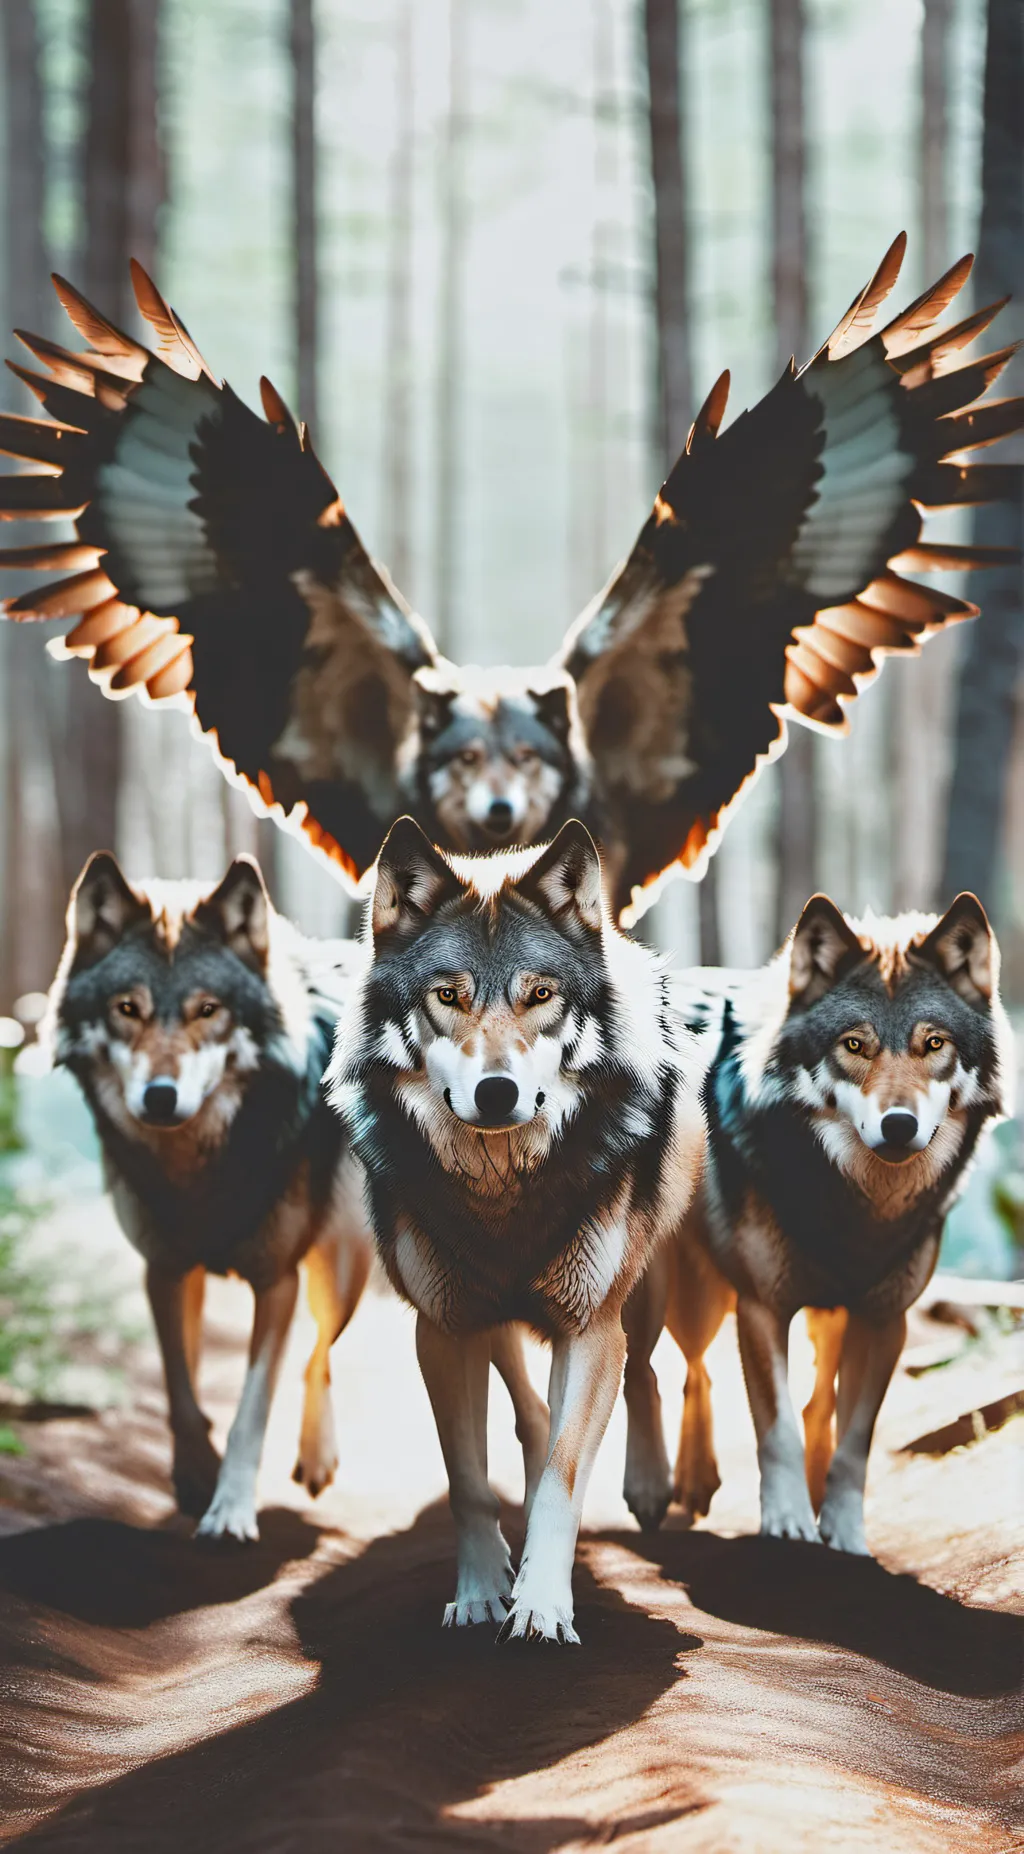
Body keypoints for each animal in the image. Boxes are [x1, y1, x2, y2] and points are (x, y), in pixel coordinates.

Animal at [45, 851, 374, 1542]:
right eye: (127, 1008)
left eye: (208, 1010)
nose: (160, 1097)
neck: (198, 1173)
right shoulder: (164, 1268)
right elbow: (180, 1386)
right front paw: (194, 1472)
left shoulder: (276, 1280)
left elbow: (252, 1407)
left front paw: (230, 1510)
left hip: (340, 1268)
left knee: (320, 1354)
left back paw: (316, 1457)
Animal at [328, 815, 704, 1642]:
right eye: (448, 995)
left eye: (539, 996)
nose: (496, 1092)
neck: (503, 1194)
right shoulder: (444, 1328)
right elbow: (468, 1479)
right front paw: (479, 1592)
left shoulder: (590, 1327)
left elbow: (566, 1471)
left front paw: (541, 1606)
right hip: (489, 1316)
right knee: (532, 1414)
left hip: (641, 1291)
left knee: (642, 1372)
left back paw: (649, 1486)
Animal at [621, 892, 1013, 1556]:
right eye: (854, 1046)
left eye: (934, 1043)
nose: (899, 1126)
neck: (858, 1209)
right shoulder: (761, 1307)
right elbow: (776, 1428)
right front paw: (786, 1523)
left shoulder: (883, 1321)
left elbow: (851, 1440)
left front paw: (844, 1531)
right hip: (664, 1290)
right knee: (645, 1370)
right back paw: (653, 1487)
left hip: (804, 1316)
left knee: (741, 1384)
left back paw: (708, 1482)